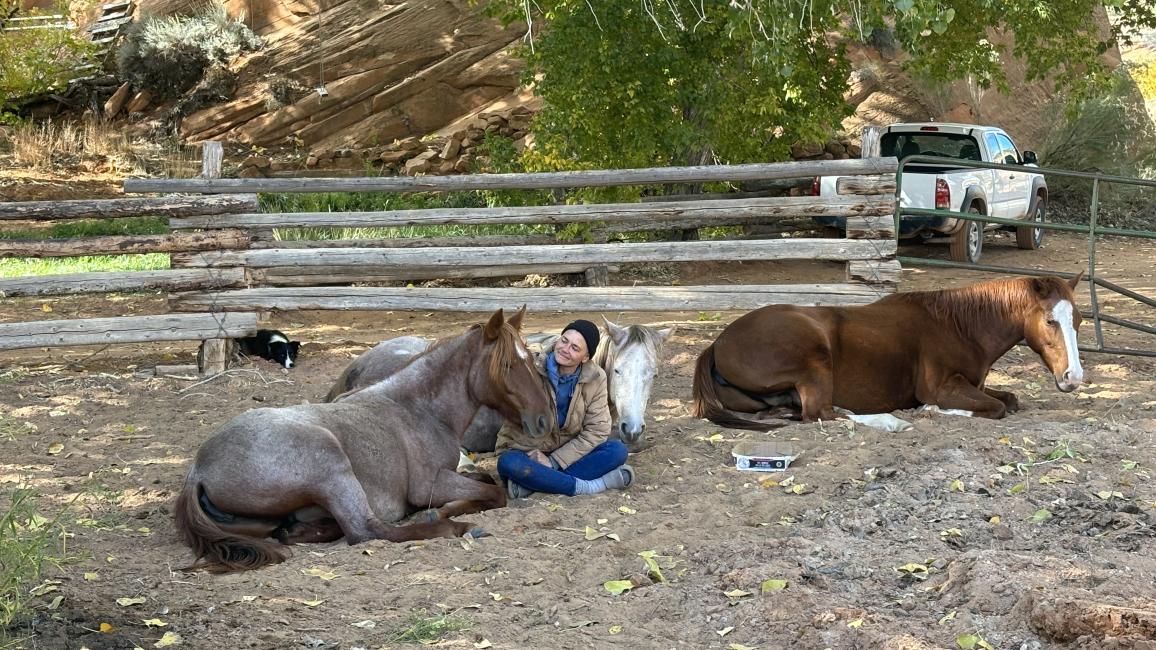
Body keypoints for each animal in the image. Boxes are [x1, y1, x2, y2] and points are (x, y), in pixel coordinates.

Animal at [173, 307, 551, 573]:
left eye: (531, 358)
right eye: (507, 365)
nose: (544, 419)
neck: (418, 408)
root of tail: (198, 471)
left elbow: (485, 479)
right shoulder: (429, 484)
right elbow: (494, 492)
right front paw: (447, 513)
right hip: (331, 467)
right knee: (366, 530)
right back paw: (459, 528)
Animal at [692, 274, 1084, 431]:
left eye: (1078, 320)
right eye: (1051, 320)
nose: (1074, 378)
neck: (957, 326)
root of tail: (718, 344)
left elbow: (1010, 399)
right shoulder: (943, 387)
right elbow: (996, 408)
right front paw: (932, 411)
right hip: (813, 360)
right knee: (822, 413)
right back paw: (891, 421)